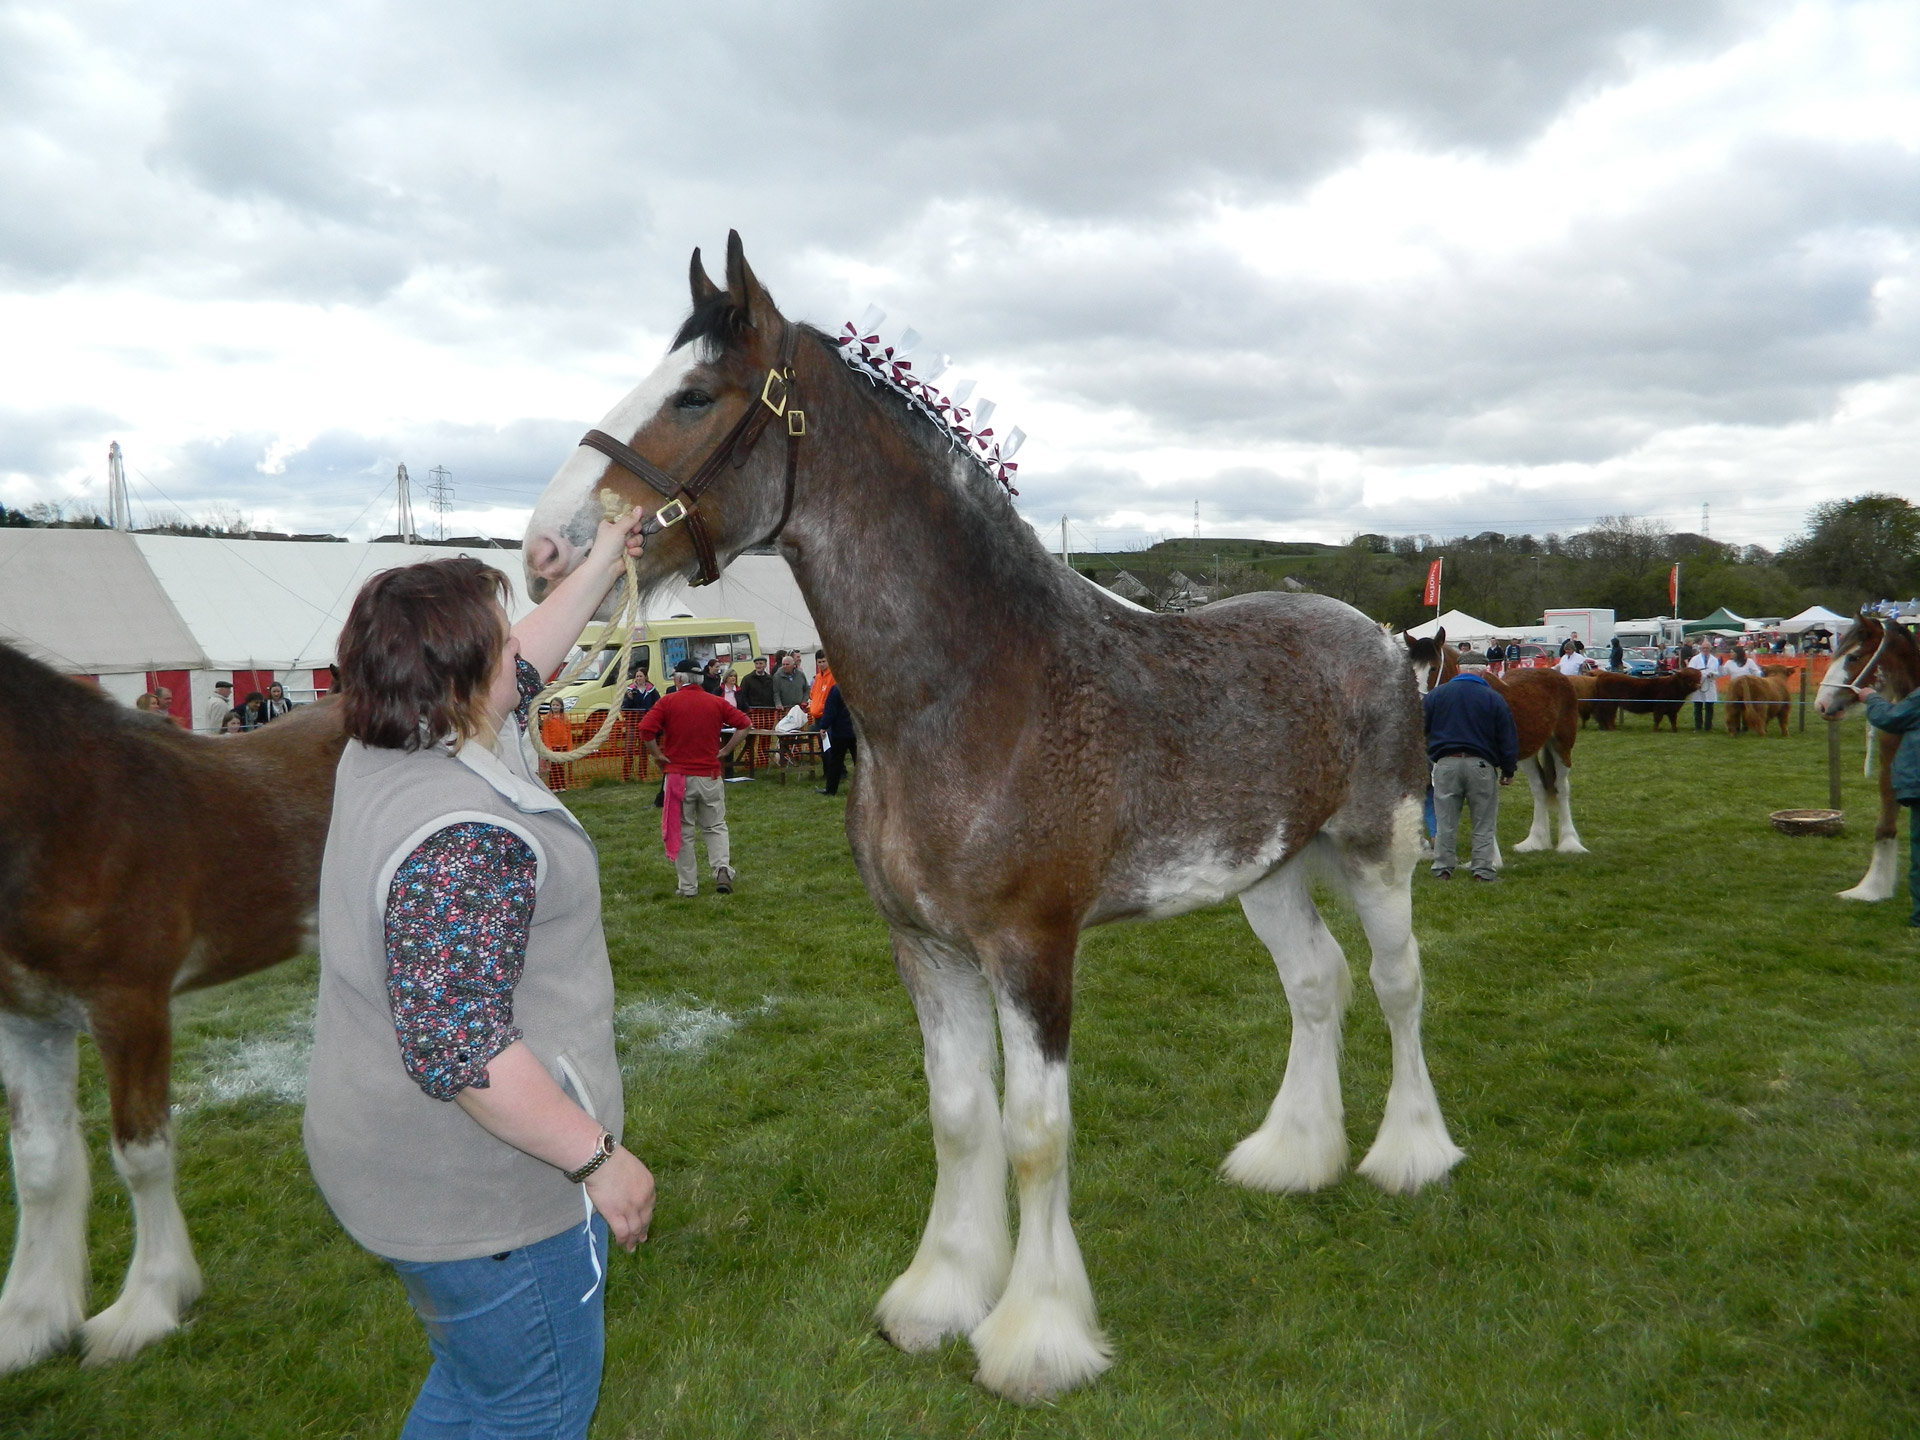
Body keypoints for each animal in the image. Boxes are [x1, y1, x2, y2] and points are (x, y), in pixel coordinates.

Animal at [0, 645, 349, 1374]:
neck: (66, 813)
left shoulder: (129, 1009)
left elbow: (141, 1155)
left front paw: (147, 1305)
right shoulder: (25, 1023)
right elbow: (40, 1166)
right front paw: (28, 1321)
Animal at [518, 231, 1459, 1405]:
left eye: (694, 396)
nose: (545, 551)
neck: (968, 692)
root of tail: (1384, 639)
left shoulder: (1030, 947)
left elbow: (1033, 1133)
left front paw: (1035, 1337)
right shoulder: (926, 947)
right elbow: (960, 1119)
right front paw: (940, 1298)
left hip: (1377, 851)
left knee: (1396, 981)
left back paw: (1410, 1155)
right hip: (1269, 872)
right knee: (1317, 983)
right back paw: (1292, 1158)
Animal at [1397, 629, 1589, 856]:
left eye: (1433, 667)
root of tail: (1558, 674)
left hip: (1561, 745)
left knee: (1561, 787)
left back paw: (1570, 843)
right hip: (1525, 753)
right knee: (1539, 788)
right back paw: (1534, 841)